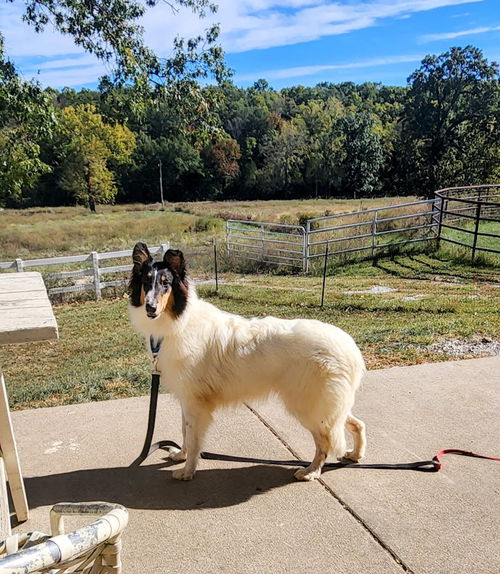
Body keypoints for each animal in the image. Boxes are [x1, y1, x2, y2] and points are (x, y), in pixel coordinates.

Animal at [127, 243, 366, 482]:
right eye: (146, 282)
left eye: (165, 283)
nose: (150, 308)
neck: (180, 319)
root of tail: (350, 349)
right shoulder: (187, 400)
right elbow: (185, 432)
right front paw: (181, 455)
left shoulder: (195, 402)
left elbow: (193, 438)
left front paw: (187, 471)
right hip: (327, 406)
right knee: (356, 424)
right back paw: (354, 454)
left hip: (308, 405)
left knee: (324, 441)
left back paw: (311, 471)